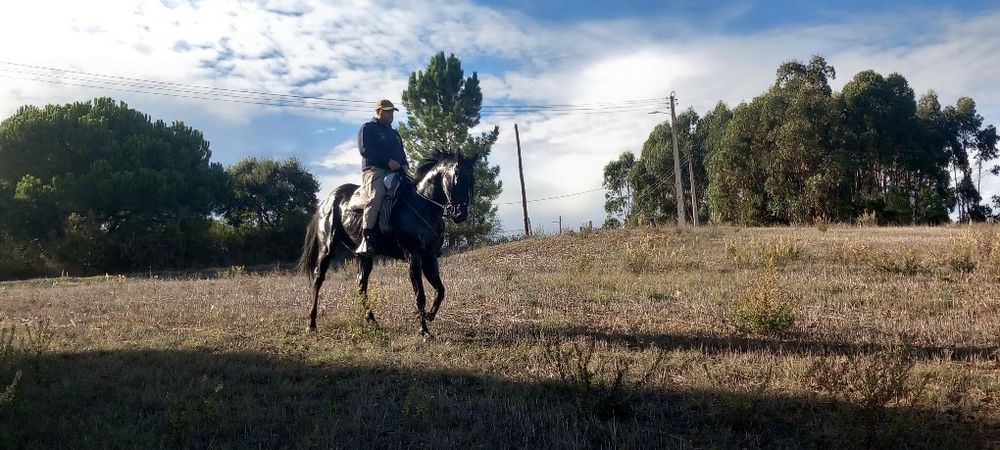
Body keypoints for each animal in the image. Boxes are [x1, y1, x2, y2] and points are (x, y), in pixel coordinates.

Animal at [298, 149, 475, 338]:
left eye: (471, 180)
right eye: (458, 177)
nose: (461, 214)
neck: (422, 205)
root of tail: (327, 200)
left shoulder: (430, 257)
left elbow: (440, 290)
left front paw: (429, 315)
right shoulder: (413, 257)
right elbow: (420, 295)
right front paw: (424, 331)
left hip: (363, 256)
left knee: (361, 285)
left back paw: (372, 321)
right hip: (327, 248)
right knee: (318, 279)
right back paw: (311, 323)